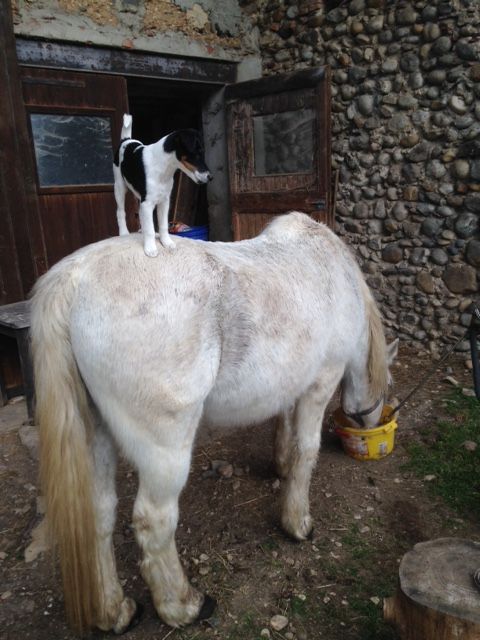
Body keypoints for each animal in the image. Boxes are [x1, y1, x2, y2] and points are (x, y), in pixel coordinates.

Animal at [31, 212, 398, 632]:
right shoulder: (320, 384)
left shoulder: (293, 385)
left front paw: (281, 465)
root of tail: (74, 278)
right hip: (165, 451)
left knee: (99, 514)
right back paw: (184, 606)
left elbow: (286, 432)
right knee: (153, 522)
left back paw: (116, 611)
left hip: (96, 436)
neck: (337, 274)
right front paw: (298, 523)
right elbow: (306, 452)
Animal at [113, 114, 211, 256]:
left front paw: (167, 242)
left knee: (140, 213)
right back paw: (124, 233)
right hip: (119, 187)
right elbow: (150, 229)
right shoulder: (147, 202)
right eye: (197, 153)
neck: (163, 168)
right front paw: (150, 248)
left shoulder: (164, 201)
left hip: (139, 195)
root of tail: (126, 140)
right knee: (120, 211)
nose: (210, 177)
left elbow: (163, 225)